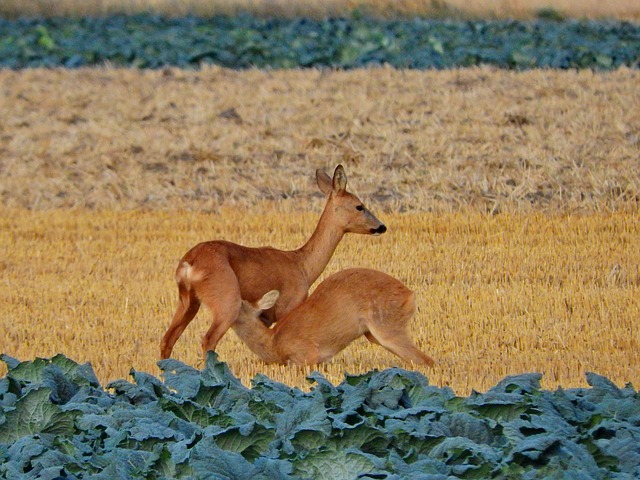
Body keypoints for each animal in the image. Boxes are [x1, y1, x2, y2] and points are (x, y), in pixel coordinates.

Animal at [162, 167, 388, 358]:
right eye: (359, 206)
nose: (382, 226)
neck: (302, 265)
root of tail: (189, 264)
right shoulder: (289, 305)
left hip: (187, 300)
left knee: (167, 339)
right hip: (226, 299)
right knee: (208, 340)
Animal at [230, 268, 436, 366]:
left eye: (240, 304)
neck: (273, 343)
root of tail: (410, 295)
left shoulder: (306, 355)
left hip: (387, 327)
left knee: (426, 361)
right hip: (374, 334)